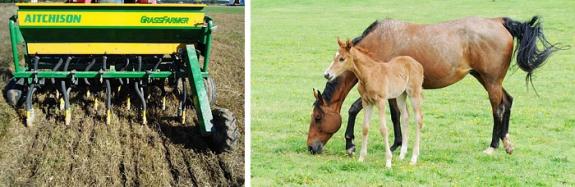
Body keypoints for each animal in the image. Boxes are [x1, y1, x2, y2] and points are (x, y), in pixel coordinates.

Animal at [308, 16, 564, 155]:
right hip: (485, 78)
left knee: (498, 108)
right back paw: (506, 141)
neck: (377, 45)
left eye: (318, 118)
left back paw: (493, 145)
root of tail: (499, 21)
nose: (311, 147)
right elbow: (395, 115)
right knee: (508, 101)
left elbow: (355, 109)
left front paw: (352, 144)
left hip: (491, 81)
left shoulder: (381, 87)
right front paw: (397, 144)